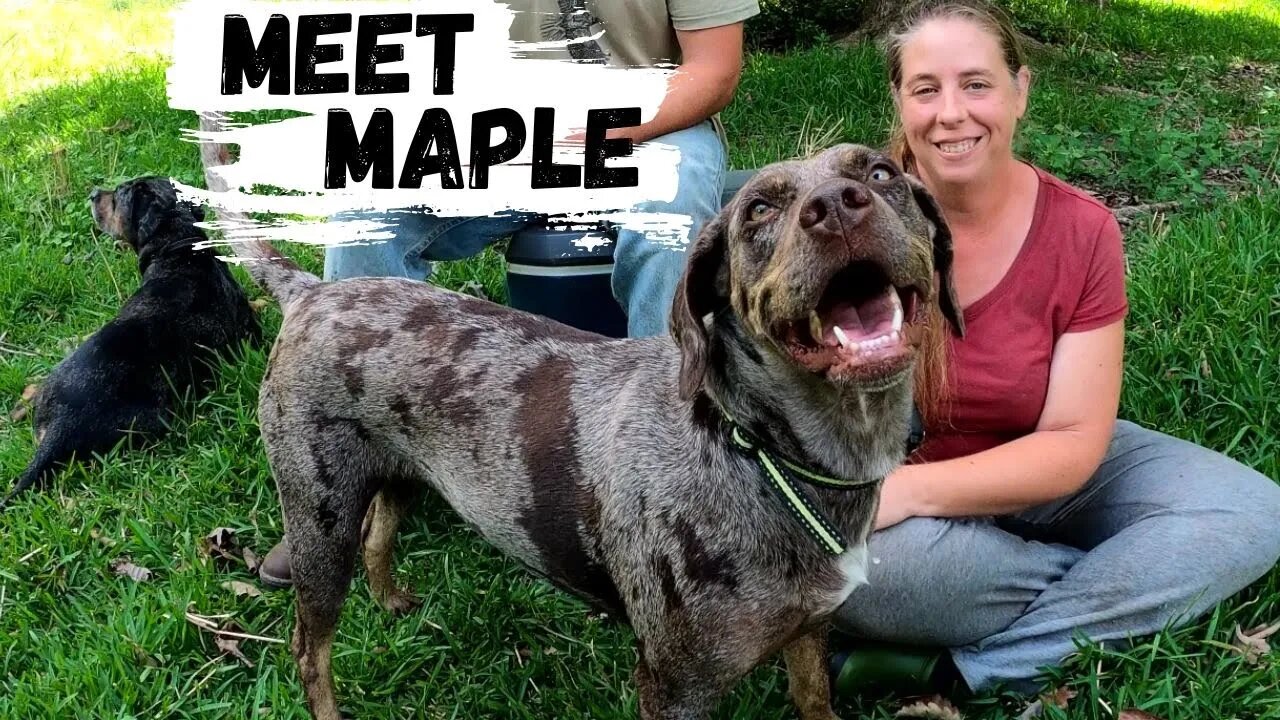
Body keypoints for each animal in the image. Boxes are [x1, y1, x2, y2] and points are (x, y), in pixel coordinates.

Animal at [225, 142, 962, 712]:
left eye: (881, 173)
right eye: (758, 209)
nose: (836, 205)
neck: (759, 452)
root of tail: (310, 293)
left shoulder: (811, 631)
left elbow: (815, 699)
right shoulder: (675, 688)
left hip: (401, 472)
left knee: (379, 531)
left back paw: (390, 599)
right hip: (319, 527)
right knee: (309, 651)